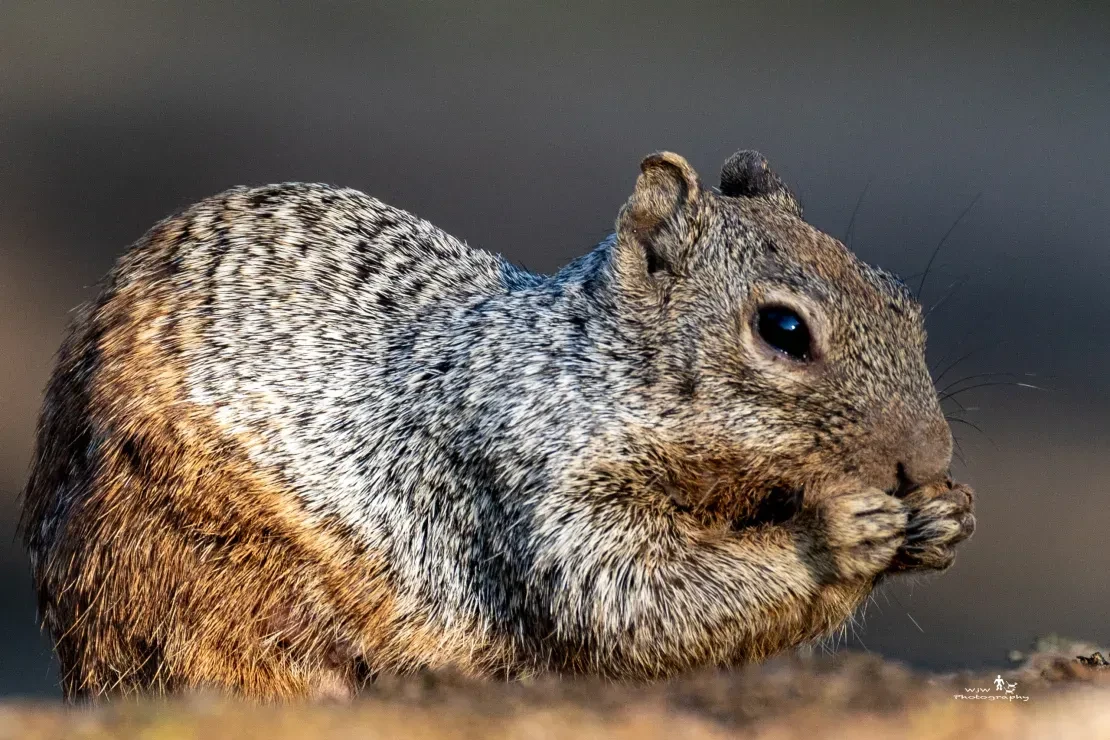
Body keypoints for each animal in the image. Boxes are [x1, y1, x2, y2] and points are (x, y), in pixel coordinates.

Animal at [21, 150, 975, 701]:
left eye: (903, 302)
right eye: (783, 330)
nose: (929, 461)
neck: (592, 371)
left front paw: (946, 519)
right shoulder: (530, 481)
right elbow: (628, 595)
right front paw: (838, 532)